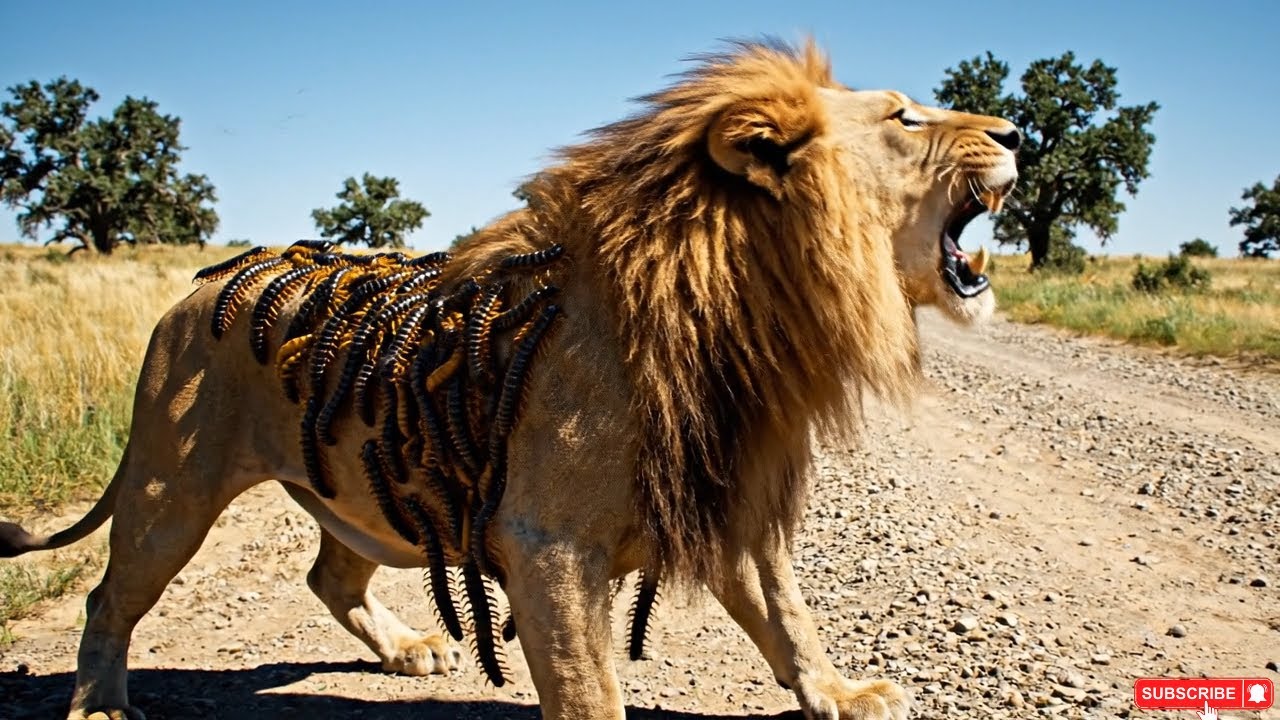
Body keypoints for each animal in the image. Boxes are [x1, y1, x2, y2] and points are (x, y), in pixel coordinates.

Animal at [0, 40, 1018, 720]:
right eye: (905, 117)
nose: (1015, 128)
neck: (751, 303)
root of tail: (197, 285)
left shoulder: (726, 497)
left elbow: (789, 615)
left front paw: (842, 693)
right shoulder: (546, 545)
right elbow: (588, 688)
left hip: (370, 490)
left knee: (330, 573)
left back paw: (410, 650)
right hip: (172, 488)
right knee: (107, 597)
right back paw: (102, 704)